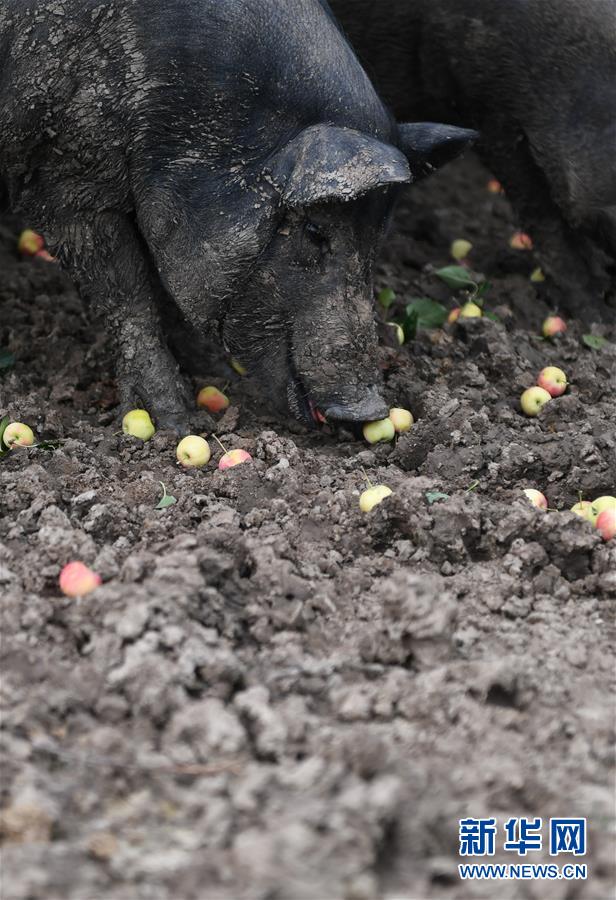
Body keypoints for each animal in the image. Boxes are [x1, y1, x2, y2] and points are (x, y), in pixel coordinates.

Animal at [0, 0, 474, 428]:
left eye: (380, 234)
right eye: (315, 230)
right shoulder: (66, 174)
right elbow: (126, 292)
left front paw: (210, 371)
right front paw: (176, 422)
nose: (368, 411)